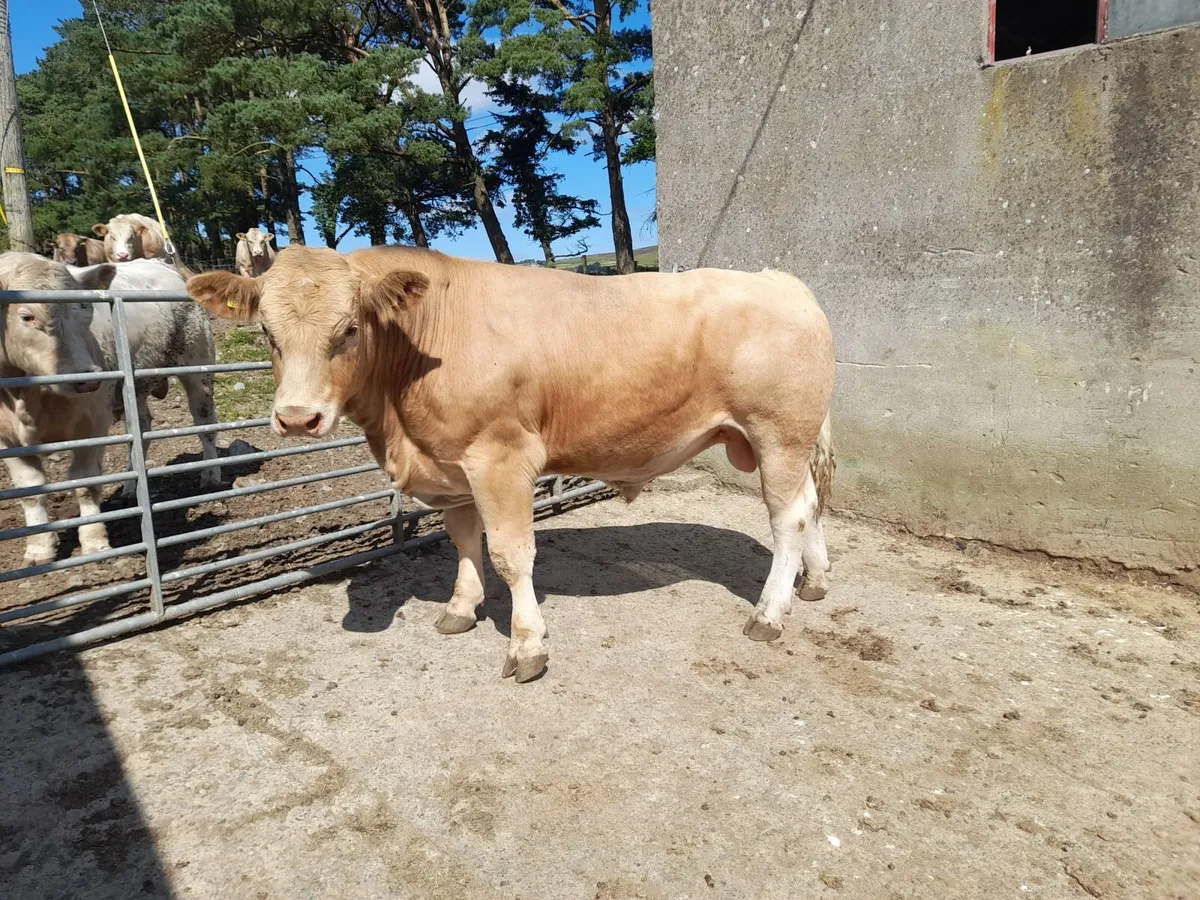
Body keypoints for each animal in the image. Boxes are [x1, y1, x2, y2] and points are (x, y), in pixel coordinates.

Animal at [0, 253, 117, 565]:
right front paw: (39, 548)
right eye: (27, 317)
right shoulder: (5, 441)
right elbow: (31, 489)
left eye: (85, 308)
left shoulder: (93, 423)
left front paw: (94, 542)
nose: (88, 377)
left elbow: (86, 481)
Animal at [68, 258, 221, 497]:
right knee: (140, 431)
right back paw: (132, 489)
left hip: (197, 366)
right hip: (136, 388)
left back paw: (211, 476)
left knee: (205, 421)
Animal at [188, 246, 836, 683]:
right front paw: (459, 609)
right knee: (809, 507)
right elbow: (464, 540)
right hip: (785, 440)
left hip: (777, 432)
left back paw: (768, 614)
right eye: (267, 334)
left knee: (787, 518)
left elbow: (510, 553)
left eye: (348, 330)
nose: (298, 420)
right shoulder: (452, 463)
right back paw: (813, 583)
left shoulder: (500, 458)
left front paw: (526, 645)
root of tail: (781, 280)